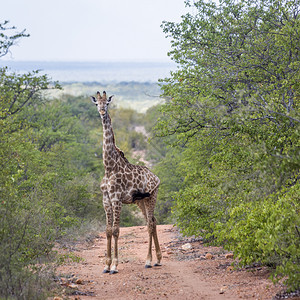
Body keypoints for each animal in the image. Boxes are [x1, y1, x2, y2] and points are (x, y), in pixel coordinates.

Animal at [91, 91, 163, 274]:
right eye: (97, 104)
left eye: (107, 103)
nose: (102, 112)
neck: (109, 167)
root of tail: (156, 177)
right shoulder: (106, 199)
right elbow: (108, 230)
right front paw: (106, 265)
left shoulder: (116, 198)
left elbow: (116, 230)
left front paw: (115, 266)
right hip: (141, 201)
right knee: (153, 221)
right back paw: (158, 260)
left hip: (152, 197)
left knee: (150, 224)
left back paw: (148, 261)